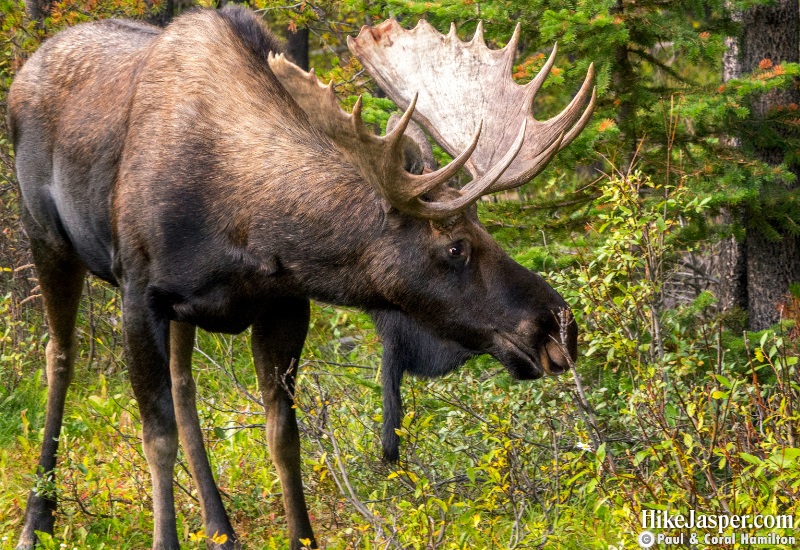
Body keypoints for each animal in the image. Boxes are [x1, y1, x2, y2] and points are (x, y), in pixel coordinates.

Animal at [7, 5, 592, 550]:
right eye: (455, 246)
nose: (558, 327)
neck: (246, 223)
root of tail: (25, 69)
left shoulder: (283, 303)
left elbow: (282, 436)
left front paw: (300, 536)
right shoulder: (137, 293)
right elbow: (157, 437)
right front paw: (162, 539)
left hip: (179, 312)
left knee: (184, 386)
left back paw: (221, 527)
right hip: (47, 239)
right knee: (60, 358)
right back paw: (37, 520)